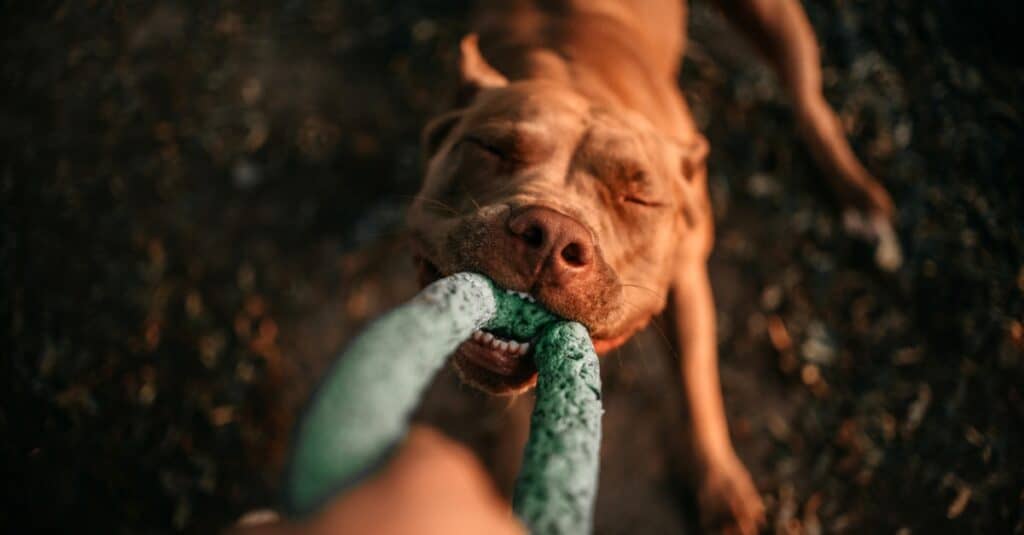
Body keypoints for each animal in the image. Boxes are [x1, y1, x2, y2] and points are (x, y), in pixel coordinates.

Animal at [407, 2, 897, 528]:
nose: (552, 235)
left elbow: (695, 381)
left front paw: (719, 483)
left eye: (640, 199)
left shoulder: (688, 280)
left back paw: (859, 196)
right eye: (490, 148)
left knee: (809, 99)